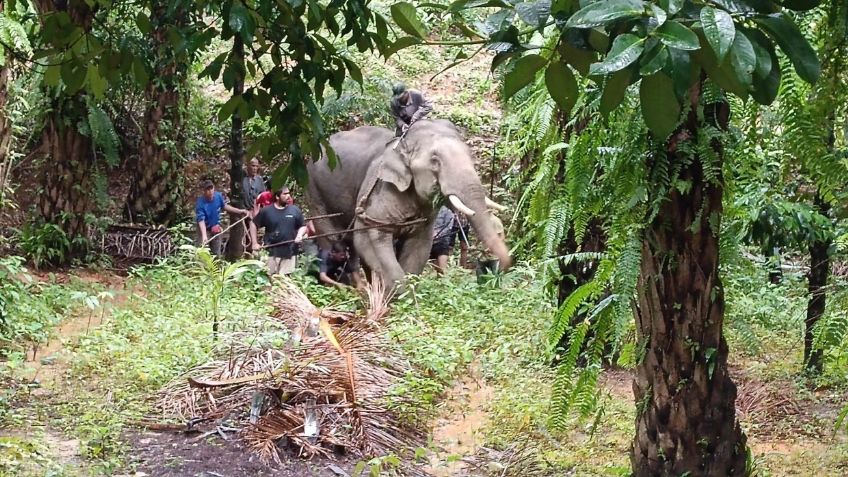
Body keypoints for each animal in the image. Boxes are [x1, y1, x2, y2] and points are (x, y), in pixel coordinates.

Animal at [304, 119, 510, 288]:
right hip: (315, 191)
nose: (504, 264)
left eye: (470, 155)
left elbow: (418, 249)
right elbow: (370, 238)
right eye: (435, 161)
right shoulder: (376, 192)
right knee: (332, 239)